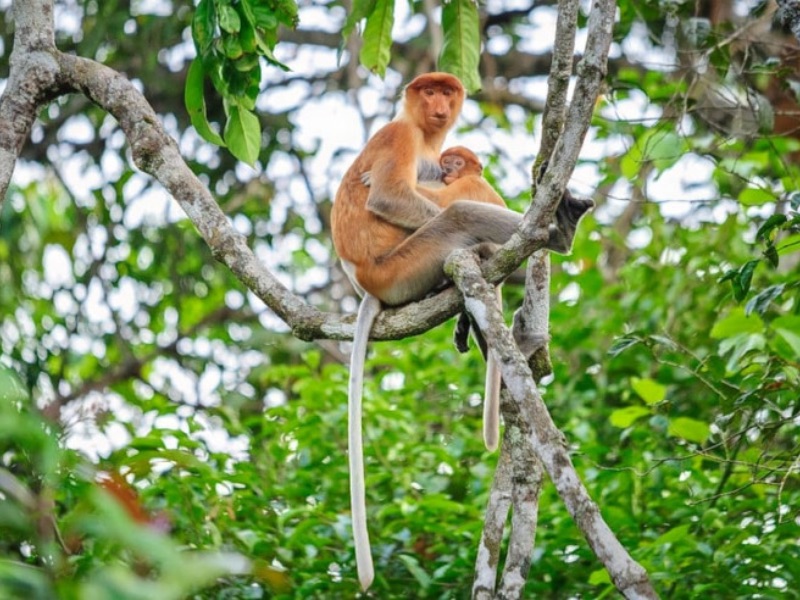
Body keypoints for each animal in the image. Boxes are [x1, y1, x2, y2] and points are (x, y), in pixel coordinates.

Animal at [328, 71, 592, 592]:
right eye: (428, 90)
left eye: (446, 92)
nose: (439, 105)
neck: (422, 133)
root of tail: (366, 282)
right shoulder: (399, 136)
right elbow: (387, 196)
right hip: (404, 265)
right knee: (458, 217)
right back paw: (555, 236)